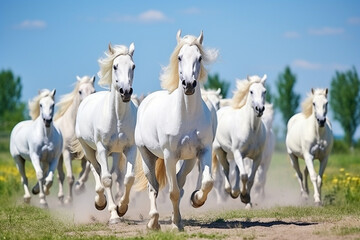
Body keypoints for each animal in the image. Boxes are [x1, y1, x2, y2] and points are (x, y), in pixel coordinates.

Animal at [53, 75, 95, 204]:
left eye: (94, 91)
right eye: (80, 91)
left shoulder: (87, 152)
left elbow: (86, 171)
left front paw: (79, 187)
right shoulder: (66, 152)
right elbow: (70, 177)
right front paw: (69, 200)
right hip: (59, 158)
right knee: (60, 176)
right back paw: (61, 198)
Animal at [72, 42, 137, 223]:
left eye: (133, 66)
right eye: (115, 66)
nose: (125, 91)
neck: (118, 117)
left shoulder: (130, 148)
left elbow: (128, 178)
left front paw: (122, 207)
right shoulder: (101, 148)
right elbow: (106, 179)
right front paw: (114, 215)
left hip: (115, 153)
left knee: (108, 172)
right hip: (89, 149)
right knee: (97, 170)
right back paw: (100, 201)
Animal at [135, 30, 218, 231]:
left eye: (199, 58)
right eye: (180, 57)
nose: (189, 84)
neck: (186, 115)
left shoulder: (203, 151)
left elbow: (207, 182)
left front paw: (196, 199)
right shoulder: (170, 156)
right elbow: (171, 192)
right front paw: (175, 226)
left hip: (188, 160)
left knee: (179, 184)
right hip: (147, 156)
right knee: (153, 187)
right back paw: (153, 222)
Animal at [214, 75, 268, 208]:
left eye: (264, 91)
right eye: (251, 91)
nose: (260, 109)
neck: (252, 128)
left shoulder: (257, 157)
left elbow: (250, 178)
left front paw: (246, 197)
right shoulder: (238, 153)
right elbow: (244, 175)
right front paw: (243, 196)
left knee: (237, 171)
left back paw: (236, 190)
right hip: (219, 151)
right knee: (226, 169)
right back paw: (229, 190)